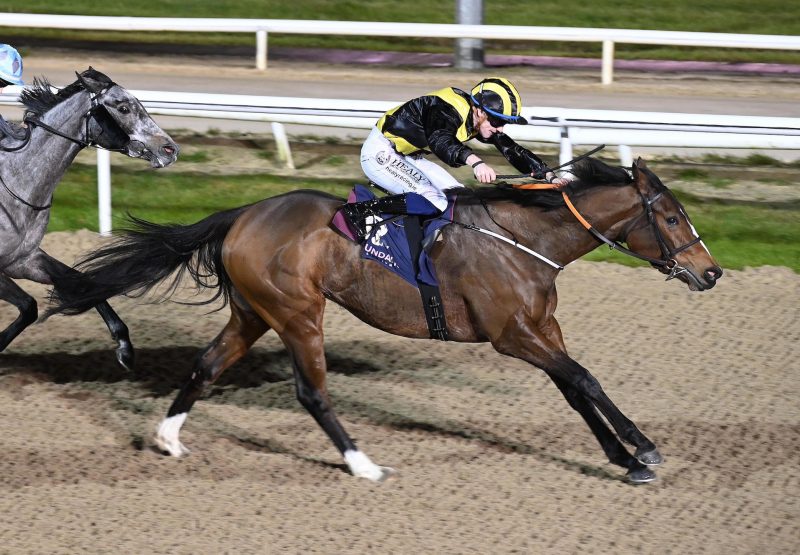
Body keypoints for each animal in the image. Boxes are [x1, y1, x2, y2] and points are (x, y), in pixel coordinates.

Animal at [0, 67, 178, 370]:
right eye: (123, 107)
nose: (170, 149)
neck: (16, 183)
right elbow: (29, 306)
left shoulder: (22, 260)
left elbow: (81, 285)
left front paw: (125, 348)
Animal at [50, 155, 724, 482]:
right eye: (670, 216)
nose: (712, 272)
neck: (525, 238)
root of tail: (242, 214)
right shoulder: (512, 336)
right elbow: (582, 378)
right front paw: (643, 452)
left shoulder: (541, 329)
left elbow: (578, 387)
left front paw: (624, 458)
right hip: (299, 312)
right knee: (312, 392)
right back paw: (363, 465)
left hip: (253, 313)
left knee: (207, 364)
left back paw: (168, 438)